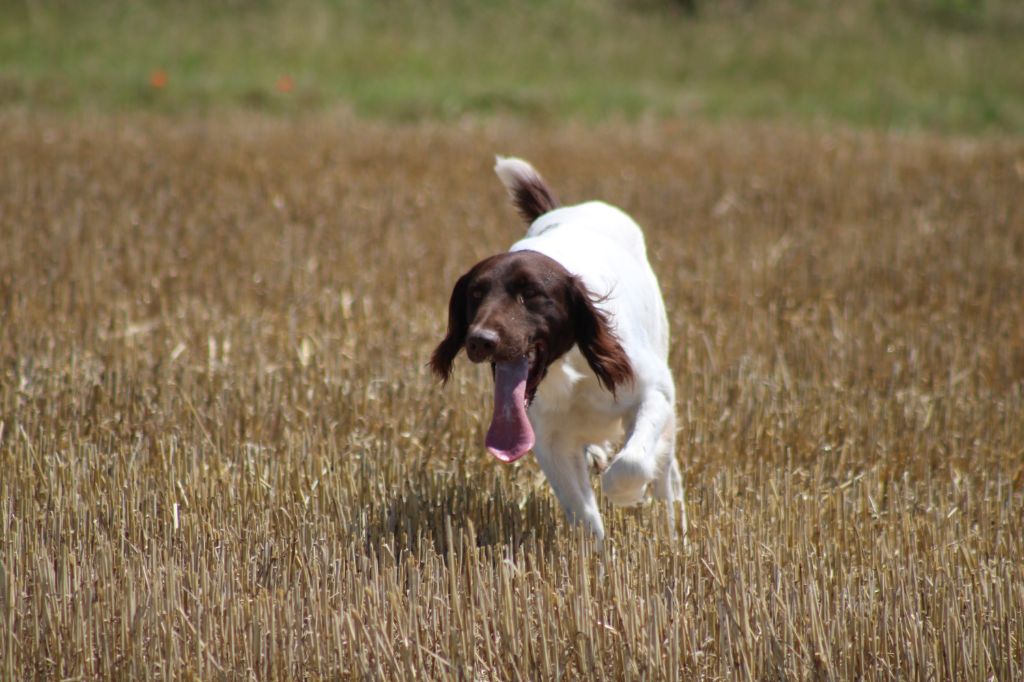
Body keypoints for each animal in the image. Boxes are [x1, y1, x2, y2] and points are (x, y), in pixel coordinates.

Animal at [428, 156, 684, 540]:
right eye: (475, 293)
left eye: (531, 293)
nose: (480, 340)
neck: (571, 365)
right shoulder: (549, 439)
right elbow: (585, 516)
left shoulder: (654, 392)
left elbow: (631, 464)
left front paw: (629, 494)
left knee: (667, 472)